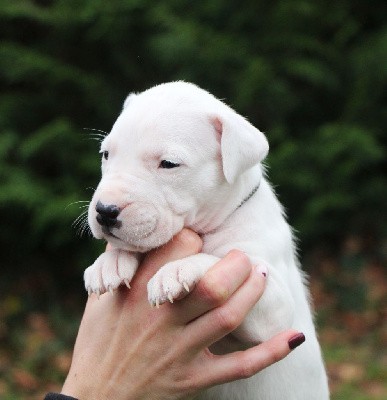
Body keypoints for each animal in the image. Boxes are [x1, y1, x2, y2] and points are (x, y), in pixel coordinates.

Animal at [85, 82, 330, 400]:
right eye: (106, 154)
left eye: (169, 164)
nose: (104, 211)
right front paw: (109, 262)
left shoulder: (275, 307)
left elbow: (221, 258)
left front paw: (178, 270)